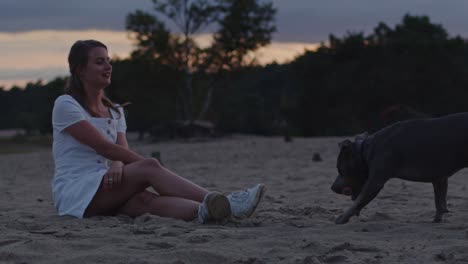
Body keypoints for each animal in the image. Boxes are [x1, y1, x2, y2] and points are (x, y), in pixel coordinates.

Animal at [330, 112, 468, 224]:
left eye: (339, 169)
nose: (332, 188)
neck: (364, 153)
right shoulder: (439, 178)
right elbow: (439, 201)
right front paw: (437, 220)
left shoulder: (375, 182)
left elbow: (358, 201)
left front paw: (341, 218)